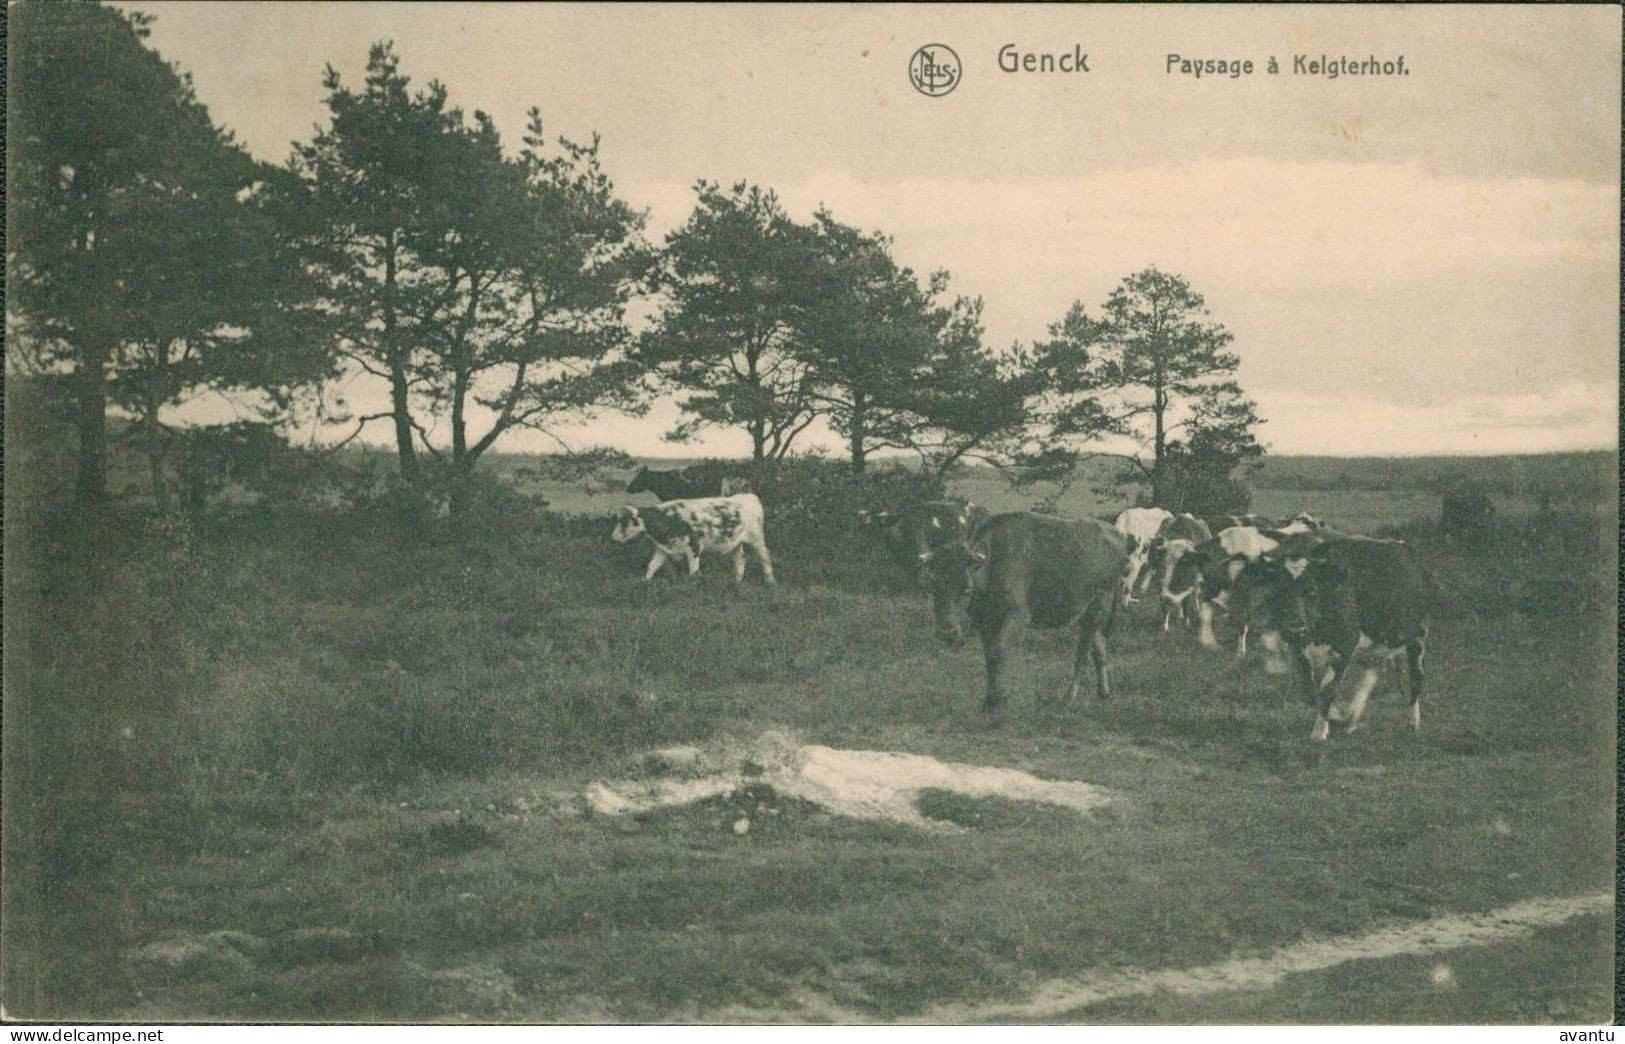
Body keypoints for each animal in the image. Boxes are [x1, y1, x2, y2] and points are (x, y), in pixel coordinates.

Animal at [611, 491, 773, 582]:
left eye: (624, 522)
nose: (613, 537)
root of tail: (749, 496)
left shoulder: (694, 547)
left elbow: (693, 571)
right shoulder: (663, 548)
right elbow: (652, 566)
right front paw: (644, 582)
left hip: (757, 538)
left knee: (765, 556)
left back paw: (771, 581)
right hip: (736, 543)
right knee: (740, 562)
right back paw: (737, 581)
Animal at [923, 510, 1137, 712]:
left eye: (966, 588)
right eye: (933, 583)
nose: (946, 632)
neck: (991, 563)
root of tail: (1118, 538)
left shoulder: (1013, 617)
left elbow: (999, 655)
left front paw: (999, 702)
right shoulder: (986, 621)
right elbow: (990, 657)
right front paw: (988, 702)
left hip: (1098, 608)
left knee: (1083, 656)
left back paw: (1068, 699)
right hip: (1087, 614)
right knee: (1099, 650)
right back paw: (1104, 694)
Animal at [1248, 536, 1430, 741]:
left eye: (1311, 590)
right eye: (1279, 590)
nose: (1294, 624)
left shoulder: (1345, 643)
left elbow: (1327, 689)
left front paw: (1319, 731)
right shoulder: (1298, 649)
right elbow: (1308, 690)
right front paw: (1335, 716)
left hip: (1417, 636)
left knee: (1416, 676)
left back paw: (1413, 721)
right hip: (1378, 641)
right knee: (1372, 671)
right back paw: (1351, 718)